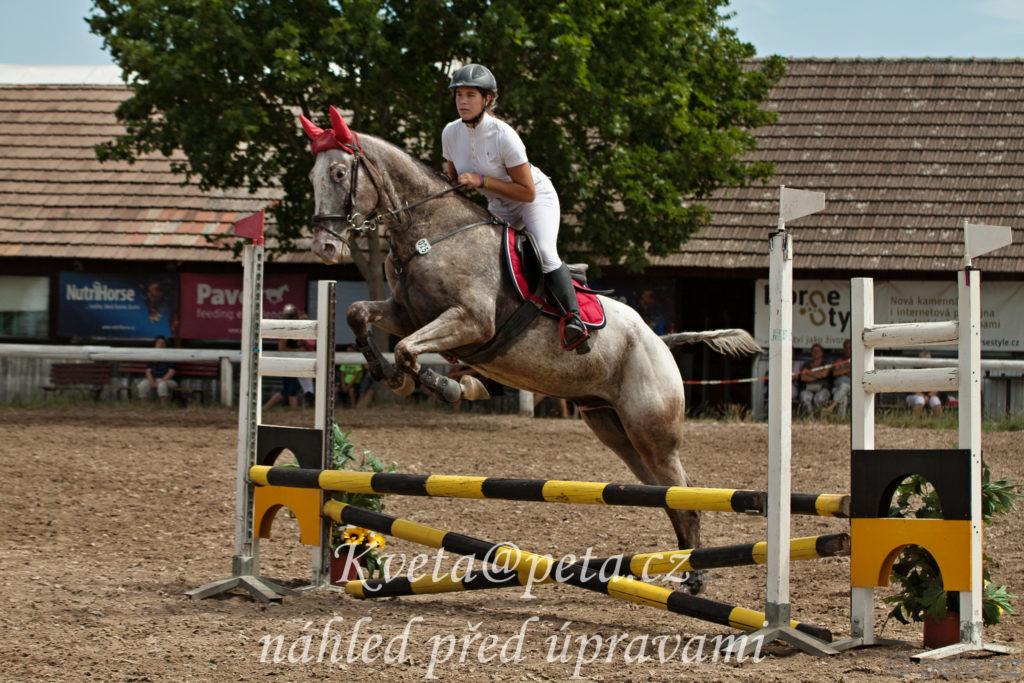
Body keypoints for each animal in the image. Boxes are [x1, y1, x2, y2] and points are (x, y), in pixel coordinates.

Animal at [302, 107, 760, 593]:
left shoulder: (471, 320)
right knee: (667, 495)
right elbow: (359, 315)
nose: (324, 247)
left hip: (653, 432)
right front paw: (394, 376)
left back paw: (695, 578)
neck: (432, 235)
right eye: (312, 175)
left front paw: (454, 386)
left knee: (685, 494)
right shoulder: (407, 313)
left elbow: (409, 350)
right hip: (616, 431)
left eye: (338, 172)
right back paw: (685, 568)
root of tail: (660, 343)